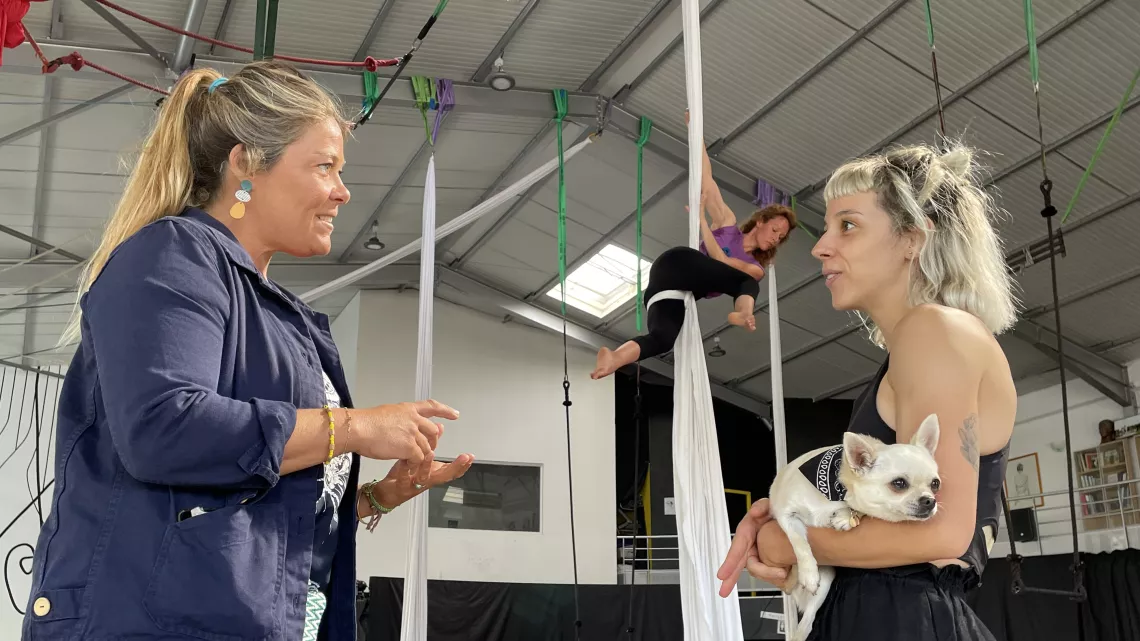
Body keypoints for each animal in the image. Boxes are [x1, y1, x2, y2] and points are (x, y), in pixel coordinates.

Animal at [767, 414, 942, 641]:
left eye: (935, 484)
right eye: (899, 483)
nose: (930, 501)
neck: (835, 492)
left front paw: (845, 516)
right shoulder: (785, 514)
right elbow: (799, 542)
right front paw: (808, 572)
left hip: (826, 581)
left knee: (806, 623)